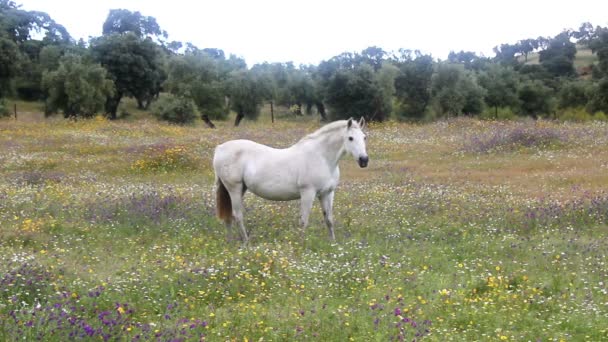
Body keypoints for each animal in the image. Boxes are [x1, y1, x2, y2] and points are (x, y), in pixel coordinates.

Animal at [211, 118, 368, 243]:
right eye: (350, 138)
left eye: (364, 137)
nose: (364, 160)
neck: (321, 157)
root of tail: (219, 148)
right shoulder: (308, 193)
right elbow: (304, 221)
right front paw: (301, 245)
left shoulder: (327, 193)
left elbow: (329, 220)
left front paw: (333, 243)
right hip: (234, 188)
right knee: (237, 215)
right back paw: (245, 242)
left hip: (239, 189)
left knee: (229, 216)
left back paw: (230, 242)